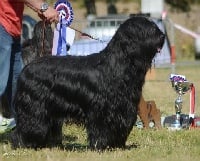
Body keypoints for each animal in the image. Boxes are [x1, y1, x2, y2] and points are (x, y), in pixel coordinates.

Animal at [10, 16, 165, 150]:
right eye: (149, 29)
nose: (163, 36)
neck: (118, 64)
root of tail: (27, 67)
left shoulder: (124, 108)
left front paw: (117, 145)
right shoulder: (102, 109)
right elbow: (102, 128)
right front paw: (102, 146)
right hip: (34, 107)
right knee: (27, 125)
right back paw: (24, 144)